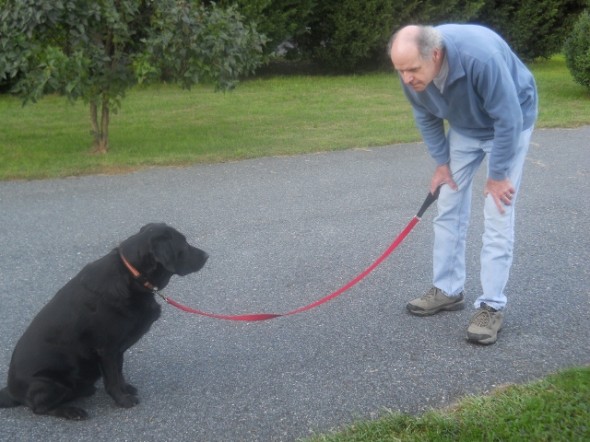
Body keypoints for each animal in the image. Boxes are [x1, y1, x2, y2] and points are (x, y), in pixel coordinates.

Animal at [0, 223, 208, 420]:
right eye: (184, 244)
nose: (207, 255)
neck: (132, 275)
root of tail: (10, 392)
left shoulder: (118, 349)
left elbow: (119, 373)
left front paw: (126, 389)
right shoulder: (106, 349)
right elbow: (112, 379)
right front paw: (122, 400)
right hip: (49, 383)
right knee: (39, 408)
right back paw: (72, 411)